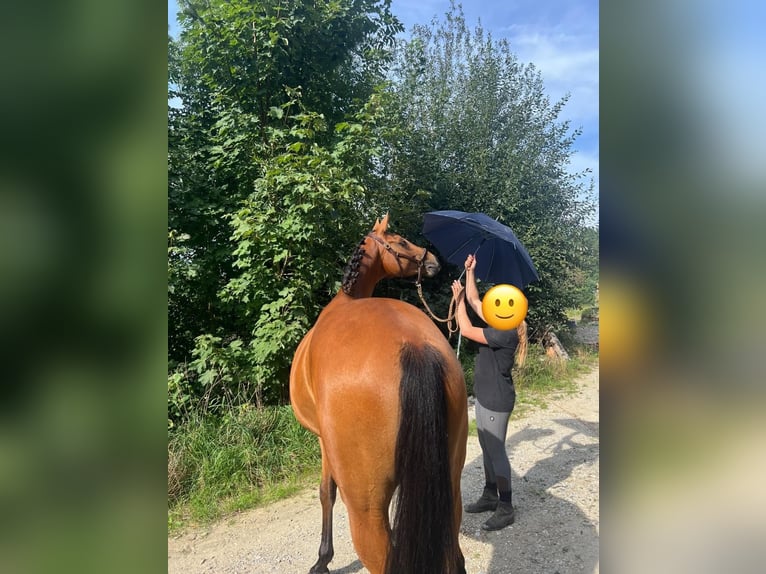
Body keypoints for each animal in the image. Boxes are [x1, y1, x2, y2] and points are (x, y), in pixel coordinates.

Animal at [292, 215, 468, 574]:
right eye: (399, 241)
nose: (433, 262)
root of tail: (414, 346)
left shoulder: (323, 442)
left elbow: (325, 492)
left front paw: (322, 559)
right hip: (449, 485)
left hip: (367, 511)